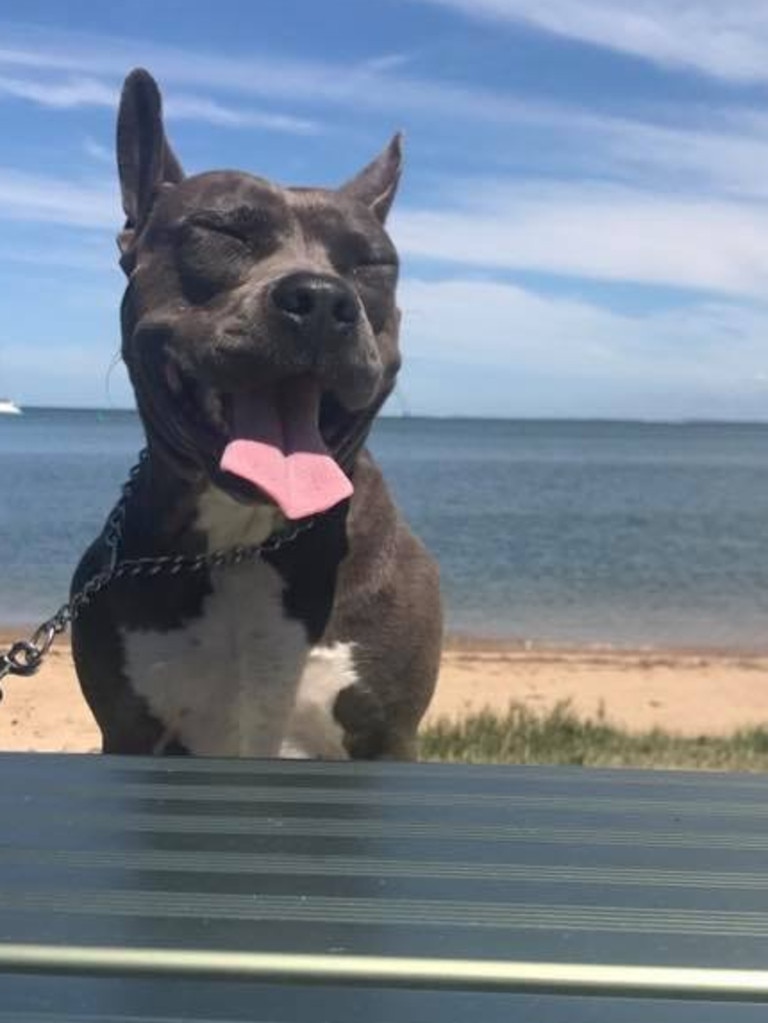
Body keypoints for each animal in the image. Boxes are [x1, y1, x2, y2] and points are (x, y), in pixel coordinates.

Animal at [73, 70, 443, 761]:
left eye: (372, 264)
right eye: (223, 233)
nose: (321, 299)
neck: (243, 542)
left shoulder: (389, 736)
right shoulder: (128, 733)